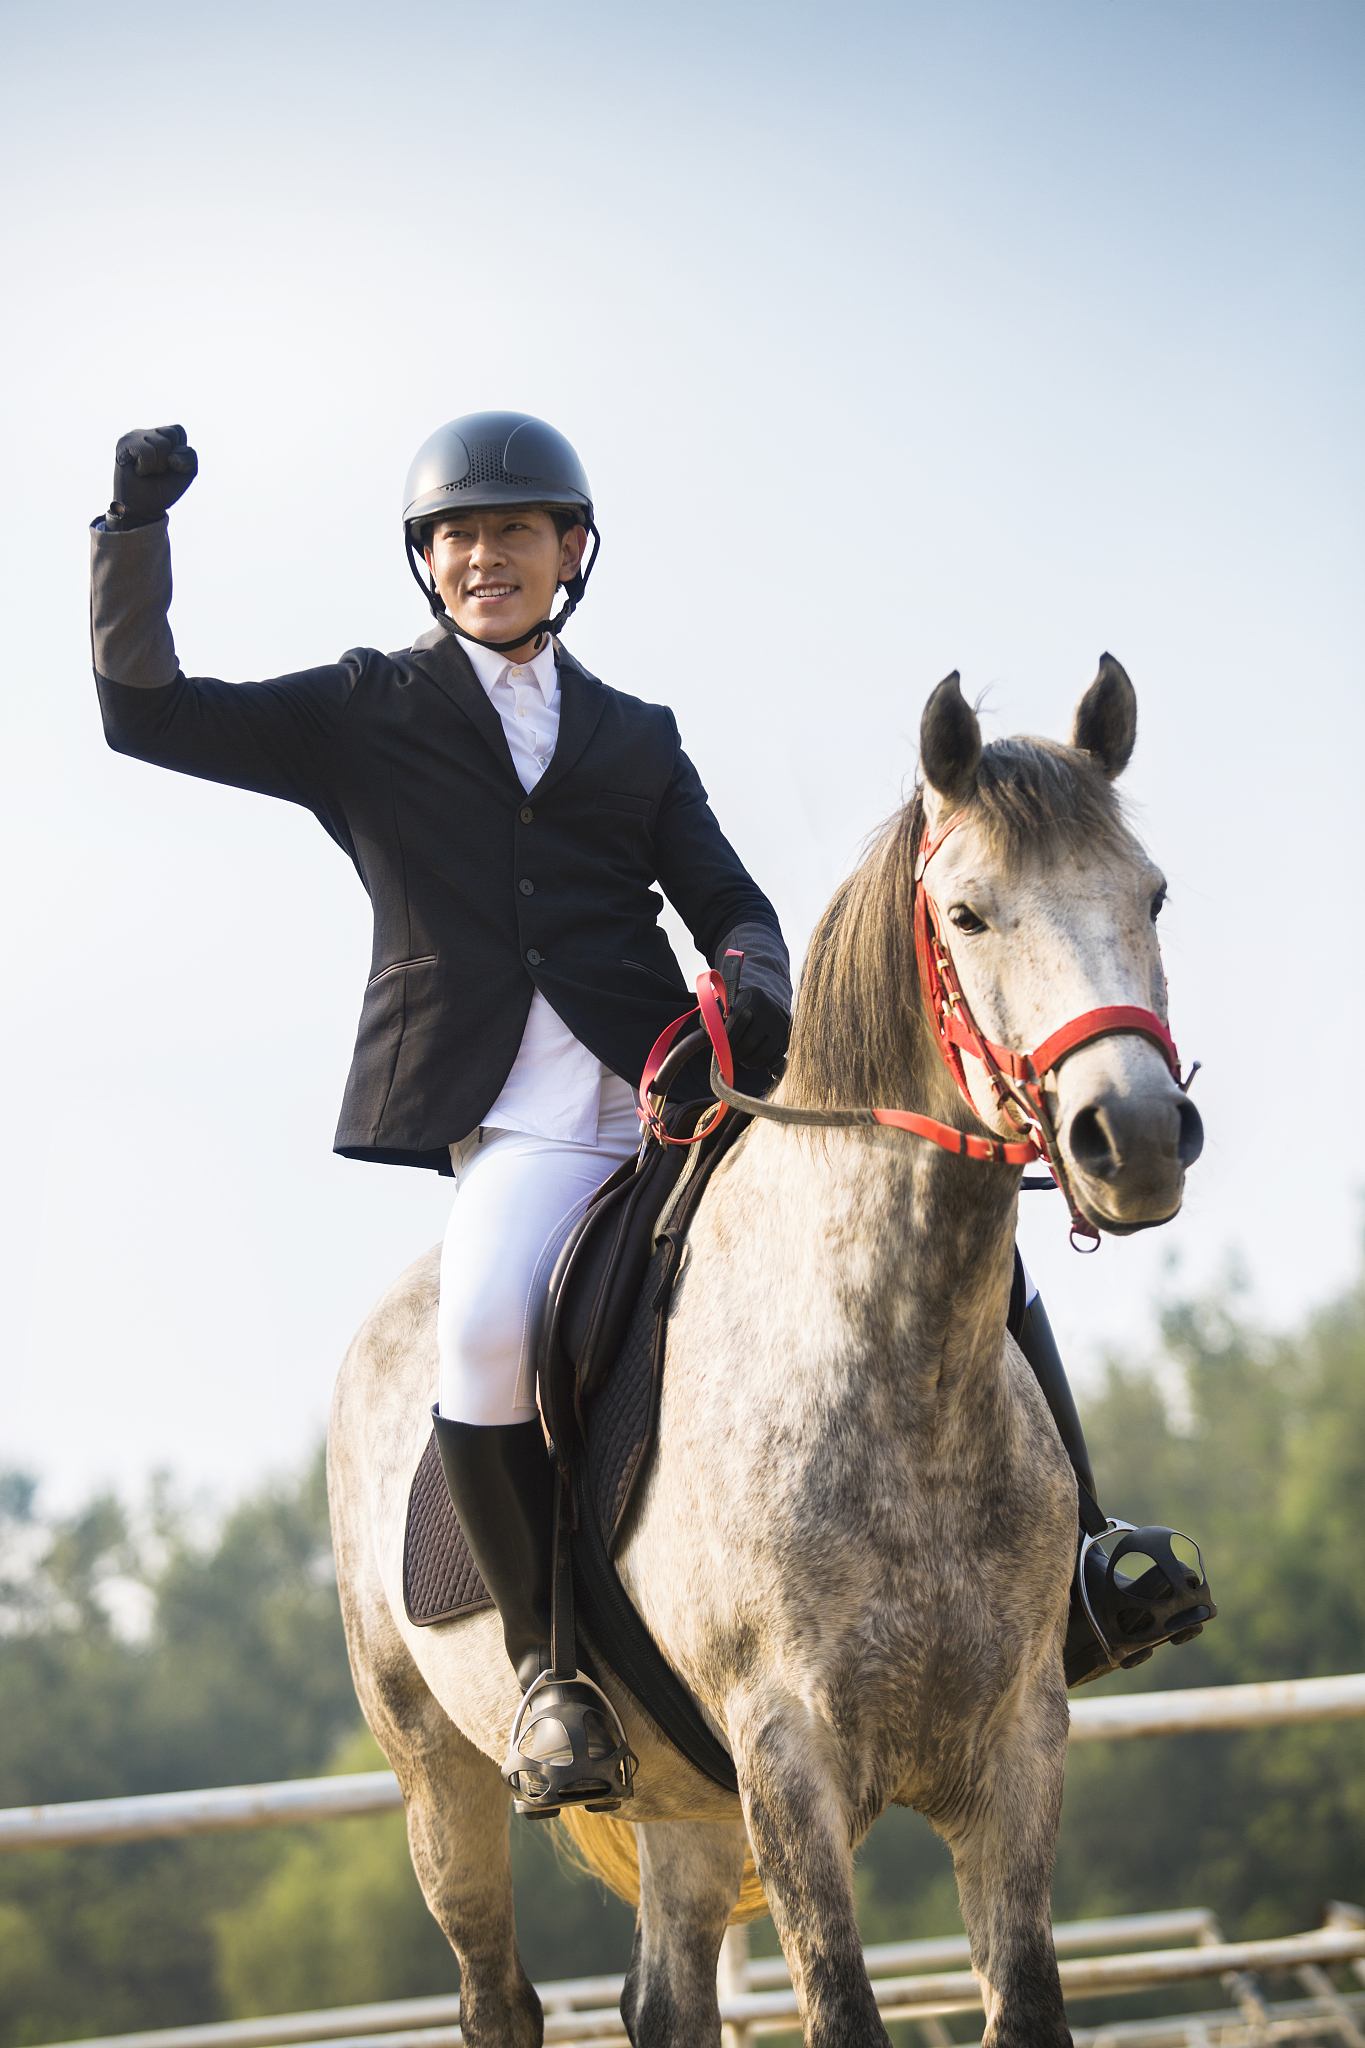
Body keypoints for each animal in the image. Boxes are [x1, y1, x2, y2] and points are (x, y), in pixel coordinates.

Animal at [328, 658, 1203, 2048]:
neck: (898, 1371)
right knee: (495, 1994)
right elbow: (840, 2008)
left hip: (684, 1804)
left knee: (664, 1996)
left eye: (1151, 891)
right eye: (968, 914)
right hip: (439, 1778)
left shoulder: (1018, 1745)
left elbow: (1026, 2006)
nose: (1139, 1136)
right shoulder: (788, 1761)